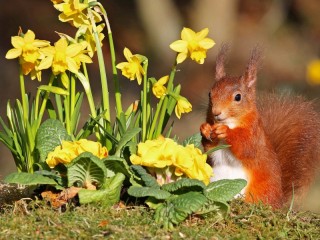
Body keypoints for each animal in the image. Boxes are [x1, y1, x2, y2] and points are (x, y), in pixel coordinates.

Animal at [200, 45, 320, 208]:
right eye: (209, 94)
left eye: (238, 97)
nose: (216, 112)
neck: (230, 122)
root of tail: (279, 202)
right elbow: (209, 148)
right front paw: (205, 129)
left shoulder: (254, 135)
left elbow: (246, 147)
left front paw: (226, 132)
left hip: (261, 192)